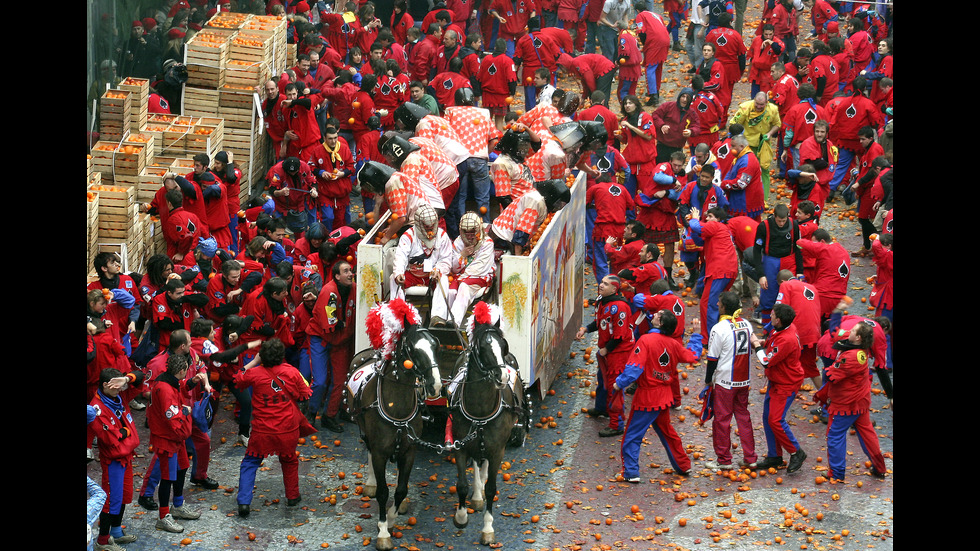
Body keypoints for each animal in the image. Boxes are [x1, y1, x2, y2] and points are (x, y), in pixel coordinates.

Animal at [342, 322, 438, 548]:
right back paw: (370, 483)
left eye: (435, 345)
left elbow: (401, 489)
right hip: (364, 430)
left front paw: (393, 519)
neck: (398, 407)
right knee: (368, 450)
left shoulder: (410, 451)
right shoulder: (380, 453)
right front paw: (383, 531)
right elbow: (383, 491)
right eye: (412, 348)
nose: (435, 384)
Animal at [448, 316, 528, 544]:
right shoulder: (460, 445)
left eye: (503, 345)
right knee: (477, 462)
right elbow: (462, 484)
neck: (480, 410)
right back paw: (476, 495)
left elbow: (492, 488)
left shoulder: (498, 451)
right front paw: (461, 516)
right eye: (482, 347)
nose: (502, 377)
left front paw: (487, 529)